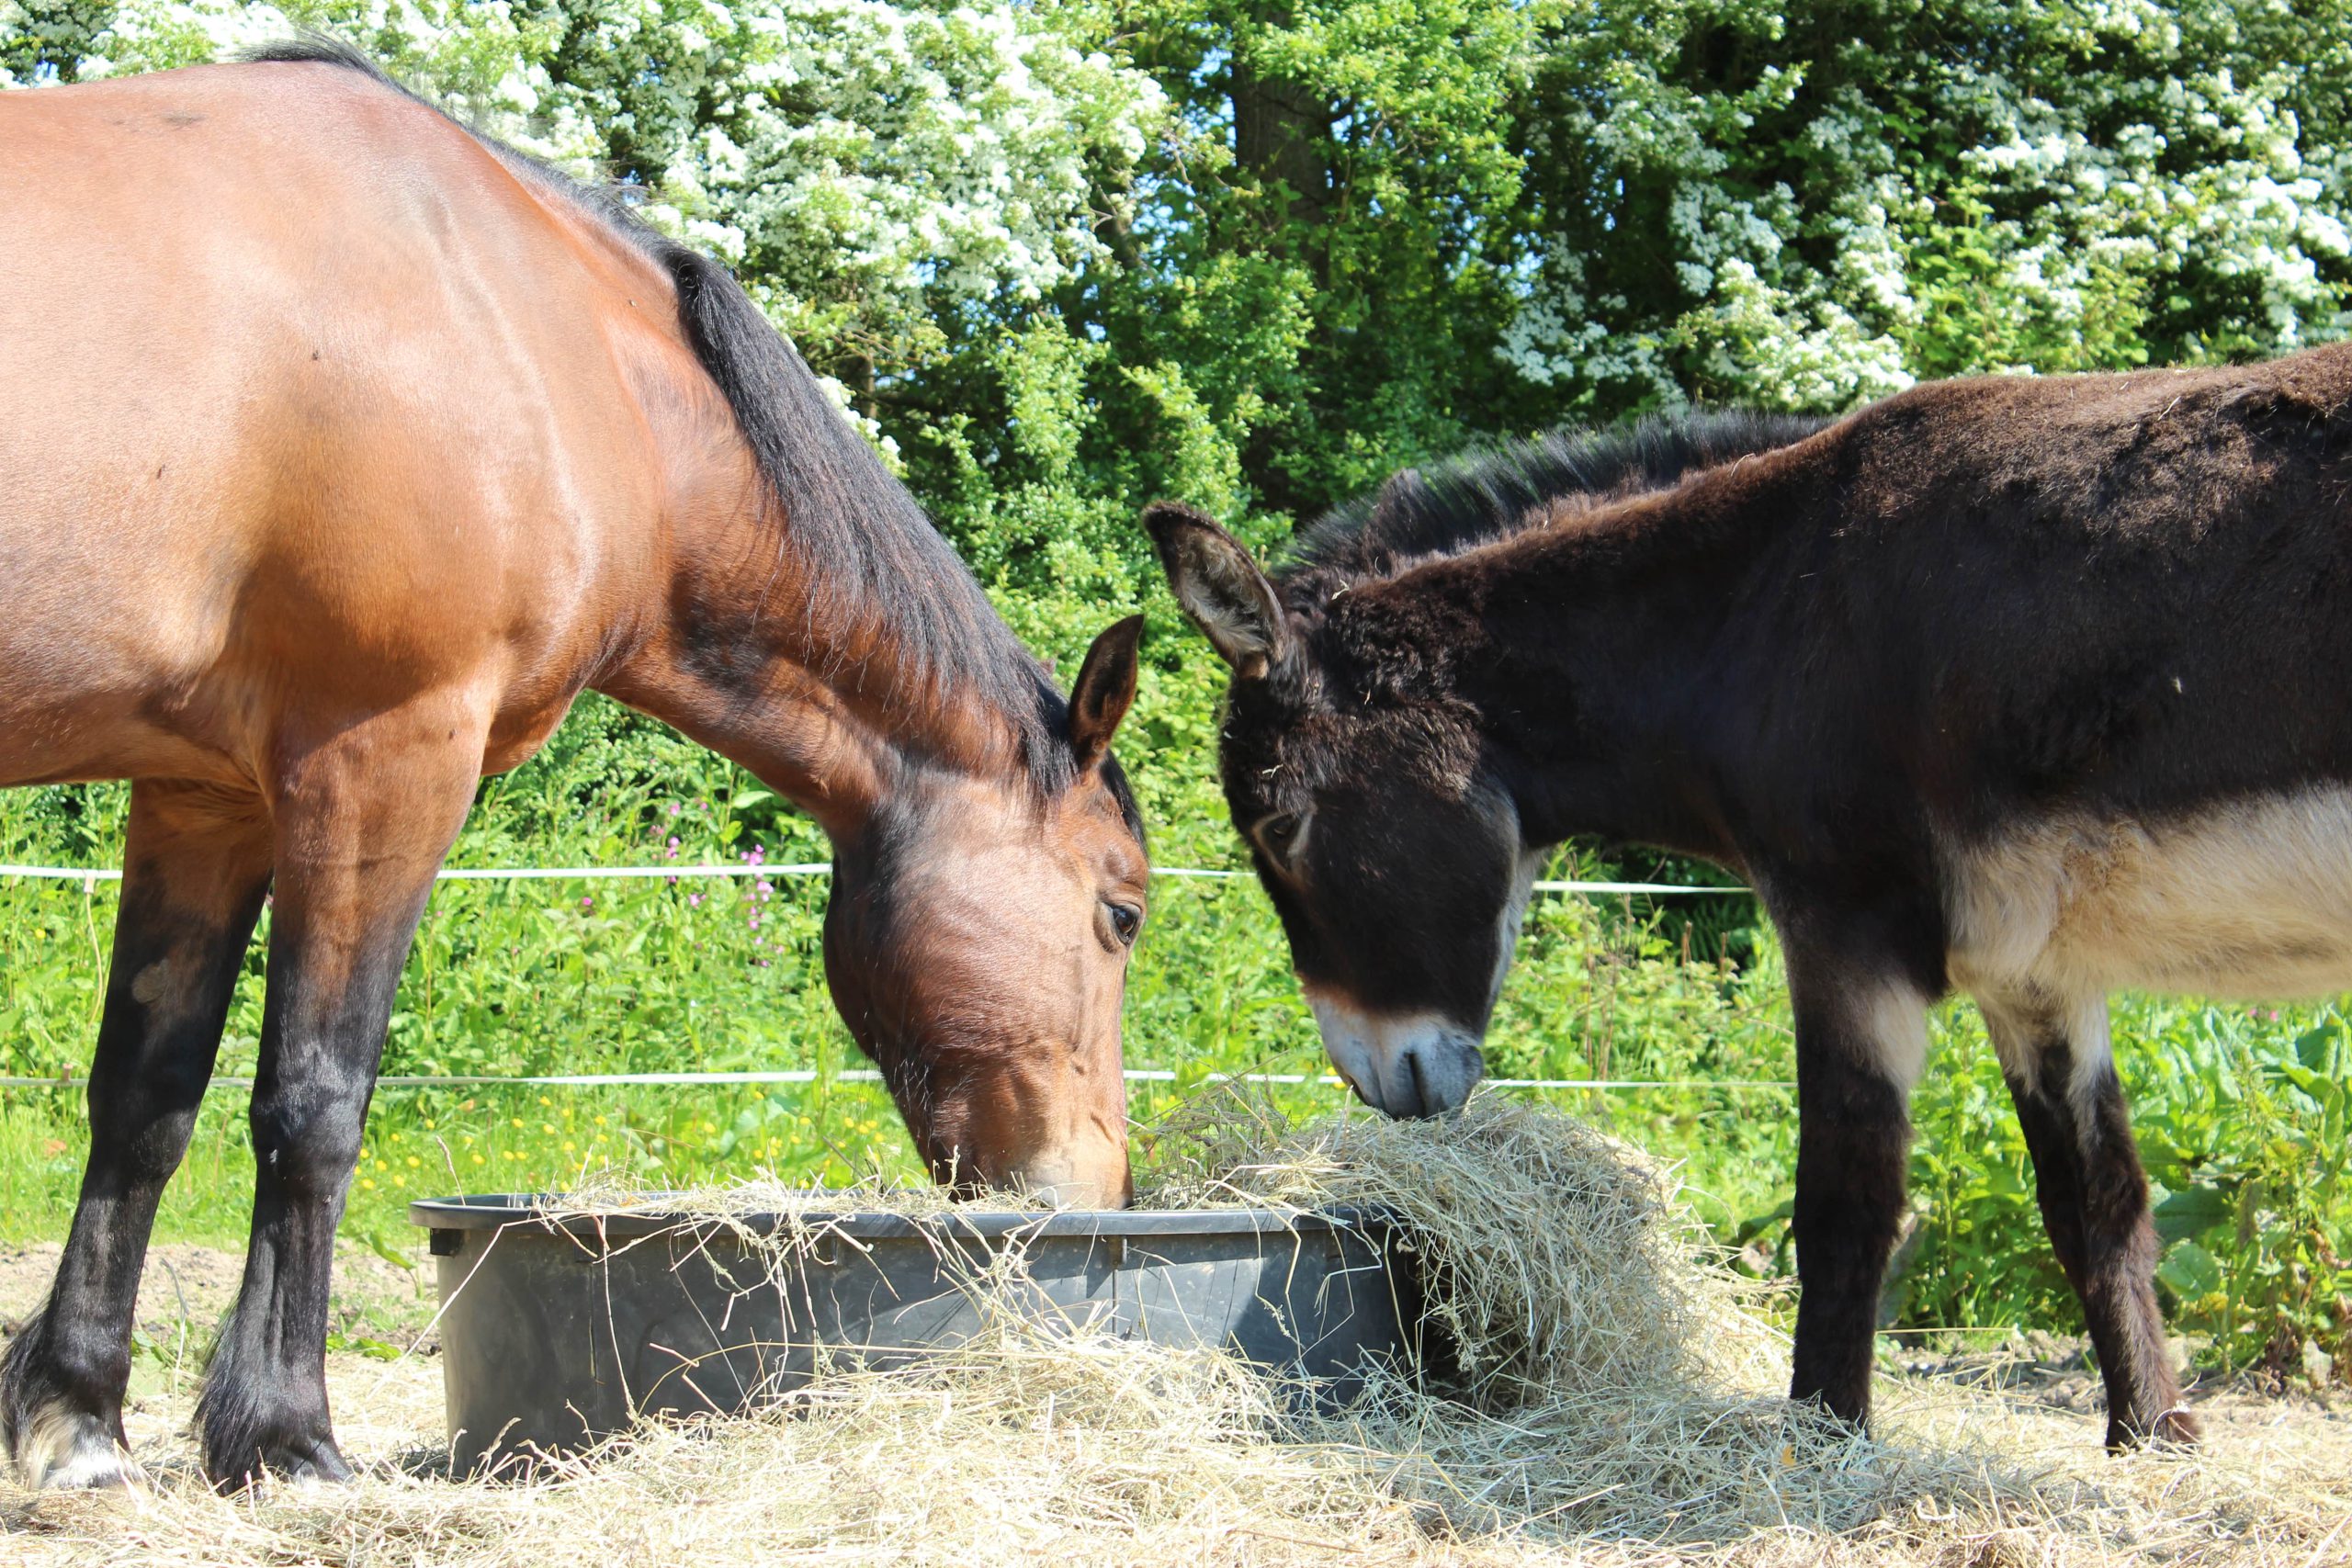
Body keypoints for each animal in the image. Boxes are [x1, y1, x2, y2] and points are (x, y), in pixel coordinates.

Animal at [0, 40, 1150, 1491]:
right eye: (1121, 911)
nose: (1097, 1196)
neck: (539, 335)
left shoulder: (205, 794)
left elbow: (144, 1096)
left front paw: (77, 1418)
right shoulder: (386, 756)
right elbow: (315, 1100)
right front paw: (285, 1432)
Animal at [1149, 348, 2352, 1448]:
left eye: (1278, 828)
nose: (1376, 1087)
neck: (1759, 610)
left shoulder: (1842, 928)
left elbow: (1842, 1208)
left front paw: (1822, 1439)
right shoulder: (2034, 970)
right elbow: (2096, 1206)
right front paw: (2151, 1436)